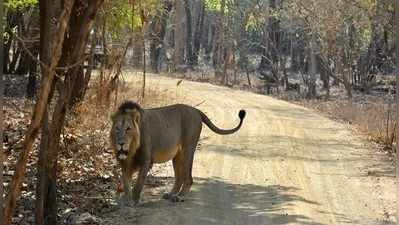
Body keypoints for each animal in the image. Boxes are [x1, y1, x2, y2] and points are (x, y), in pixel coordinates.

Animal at [110, 101, 247, 205]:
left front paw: (134, 200)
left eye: (128, 129)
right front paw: (126, 200)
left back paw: (180, 196)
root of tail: (196, 110)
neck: (131, 149)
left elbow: (138, 183)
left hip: (188, 148)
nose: (121, 143)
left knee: (188, 178)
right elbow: (126, 182)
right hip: (177, 155)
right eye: (117, 129)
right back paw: (171, 194)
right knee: (179, 177)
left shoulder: (146, 160)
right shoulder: (124, 163)